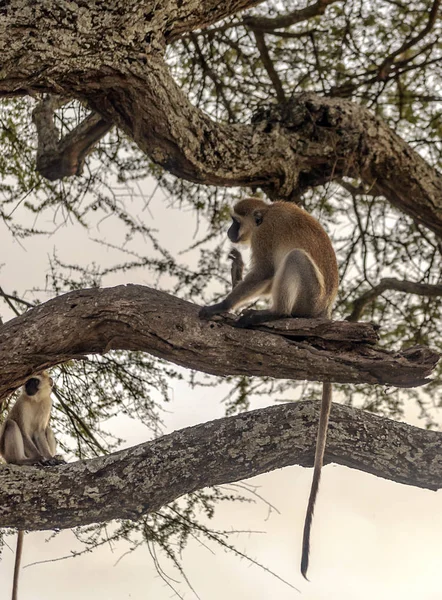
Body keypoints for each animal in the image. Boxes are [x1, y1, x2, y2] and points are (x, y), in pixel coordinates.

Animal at [0, 370, 64, 600]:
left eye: (34, 382)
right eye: (28, 381)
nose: (27, 387)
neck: (35, 400)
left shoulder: (47, 404)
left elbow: (39, 433)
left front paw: (50, 460)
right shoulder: (22, 405)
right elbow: (25, 431)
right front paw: (41, 460)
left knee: (47, 429)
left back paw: (54, 457)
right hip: (9, 453)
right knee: (12, 425)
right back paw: (25, 461)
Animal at [200, 199, 338, 580]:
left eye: (236, 221)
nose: (230, 231)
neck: (266, 213)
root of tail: (325, 309)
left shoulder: (265, 238)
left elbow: (265, 273)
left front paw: (221, 305)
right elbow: (262, 276)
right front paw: (235, 271)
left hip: (309, 297)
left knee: (293, 260)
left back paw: (273, 315)